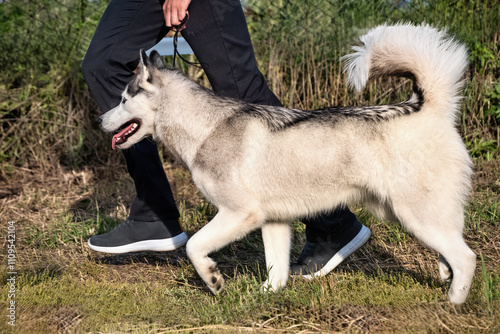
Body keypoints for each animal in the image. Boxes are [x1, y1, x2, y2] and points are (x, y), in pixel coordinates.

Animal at [97, 23, 476, 304]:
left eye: (124, 99)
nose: (99, 120)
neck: (207, 128)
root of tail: (423, 106)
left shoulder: (240, 214)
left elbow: (193, 246)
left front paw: (213, 279)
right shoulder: (274, 221)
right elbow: (276, 271)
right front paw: (264, 296)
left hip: (414, 215)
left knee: (467, 257)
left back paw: (454, 301)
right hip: (405, 213)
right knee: (453, 247)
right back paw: (445, 273)